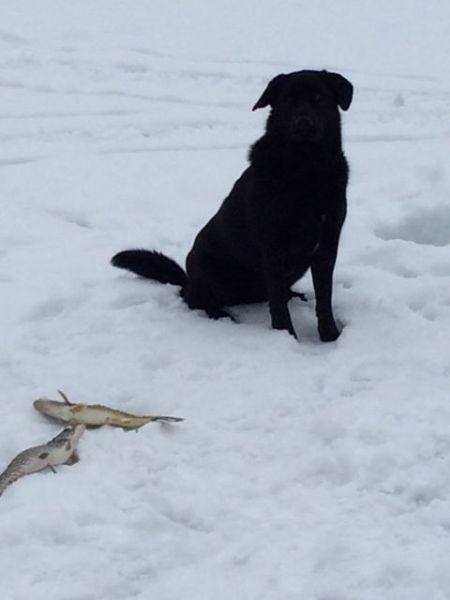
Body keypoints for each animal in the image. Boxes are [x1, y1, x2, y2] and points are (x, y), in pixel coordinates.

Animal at [111, 69, 352, 342]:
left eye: (318, 98)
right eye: (288, 100)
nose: (303, 123)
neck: (307, 171)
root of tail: (188, 280)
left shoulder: (328, 243)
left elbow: (324, 297)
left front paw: (330, 336)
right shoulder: (273, 247)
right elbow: (278, 305)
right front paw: (286, 337)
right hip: (209, 273)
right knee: (198, 300)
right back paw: (223, 316)